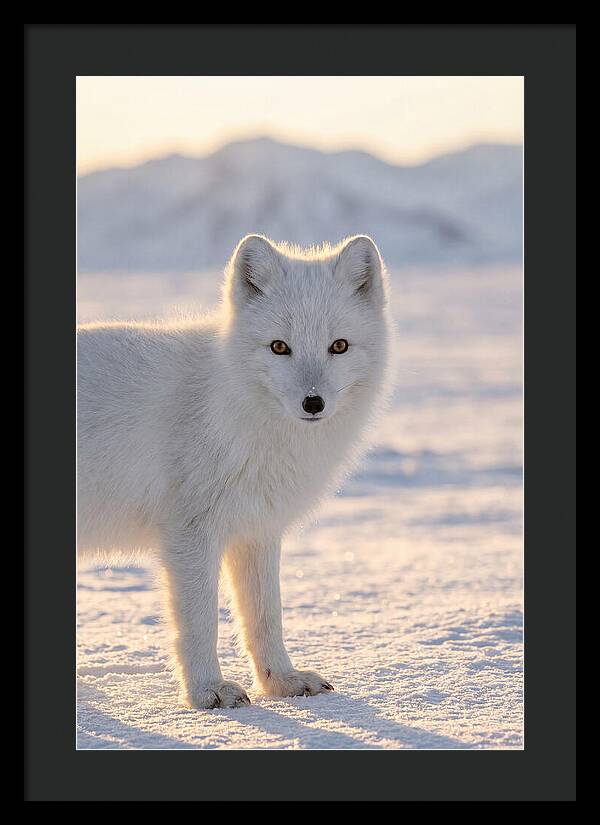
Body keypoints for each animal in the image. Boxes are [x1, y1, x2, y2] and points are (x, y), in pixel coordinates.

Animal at [77, 234, 392, 709]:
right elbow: (200, 622)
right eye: (279, 347)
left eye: (339, 346)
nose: (313, 403)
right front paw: (207, 692)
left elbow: (265, 616)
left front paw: (281, 682)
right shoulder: (190, 534)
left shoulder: (256, 529)